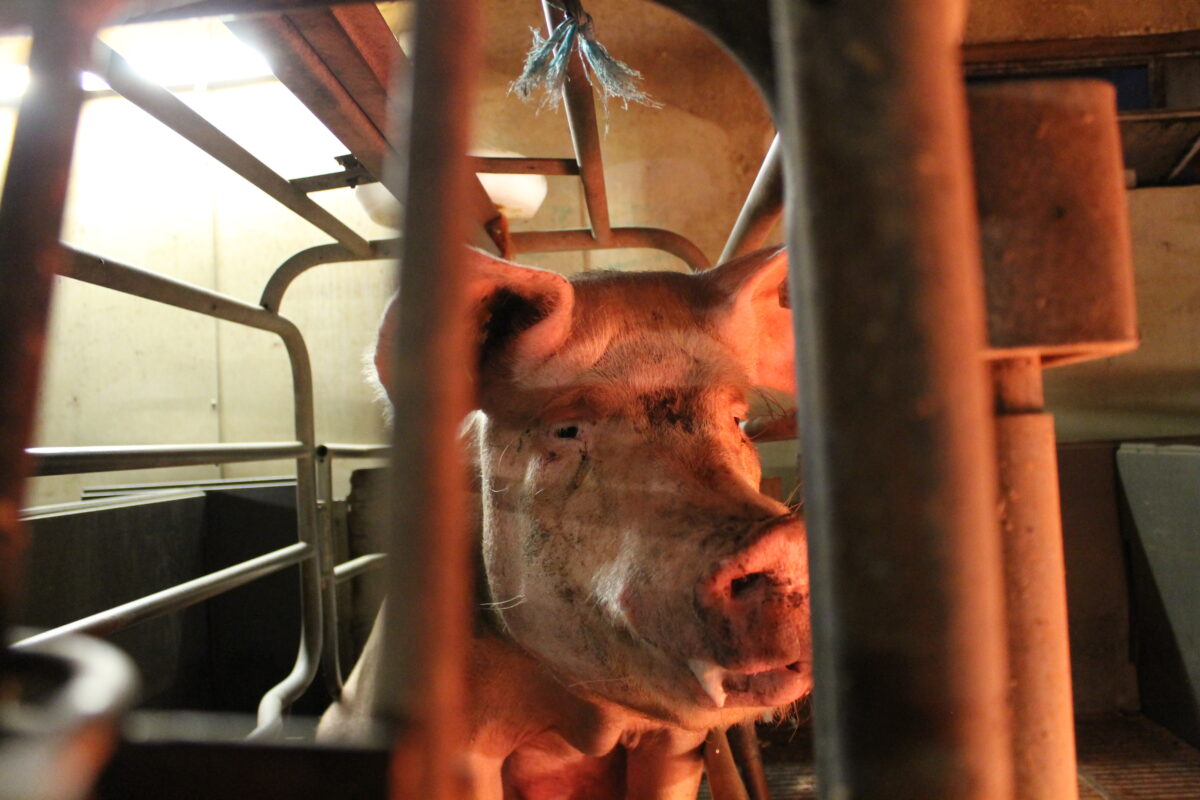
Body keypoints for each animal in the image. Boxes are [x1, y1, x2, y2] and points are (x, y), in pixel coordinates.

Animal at [319, 245, 810, 799]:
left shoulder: (676, 744)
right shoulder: (464, 742)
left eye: (738, 421)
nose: (784, 542)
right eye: (567, 429)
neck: (582, 719)